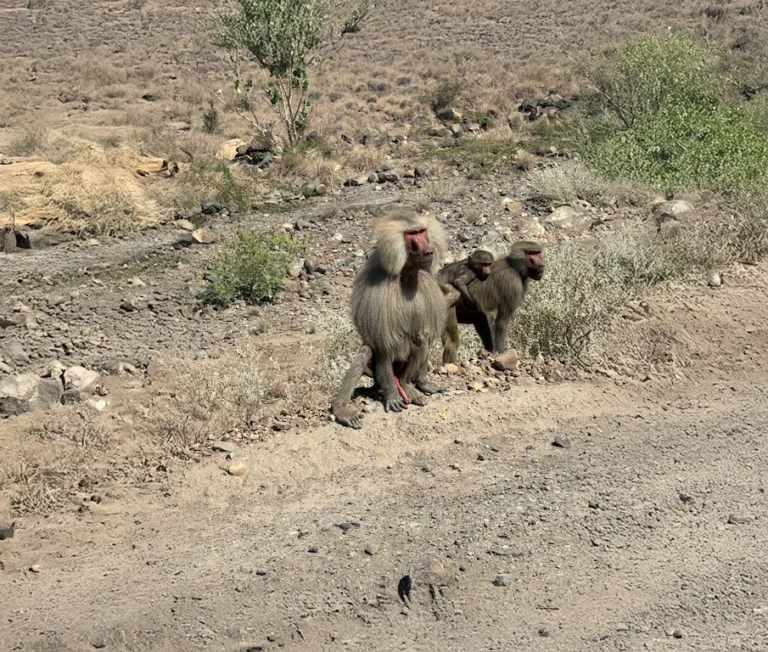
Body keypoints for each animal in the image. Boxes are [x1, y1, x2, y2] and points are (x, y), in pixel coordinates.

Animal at [330, 211, 450, 430]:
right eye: (412, 235)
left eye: (422, 231)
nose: (429, 252)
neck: (406, 273)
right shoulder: (378, 291)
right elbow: (382, 345)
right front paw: (393, 397)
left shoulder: (428, 285)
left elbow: (427, 335)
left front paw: (423, 383)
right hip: (376, 374)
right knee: (367, 353)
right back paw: (342, 409)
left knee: (421, 338)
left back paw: (411, 385)